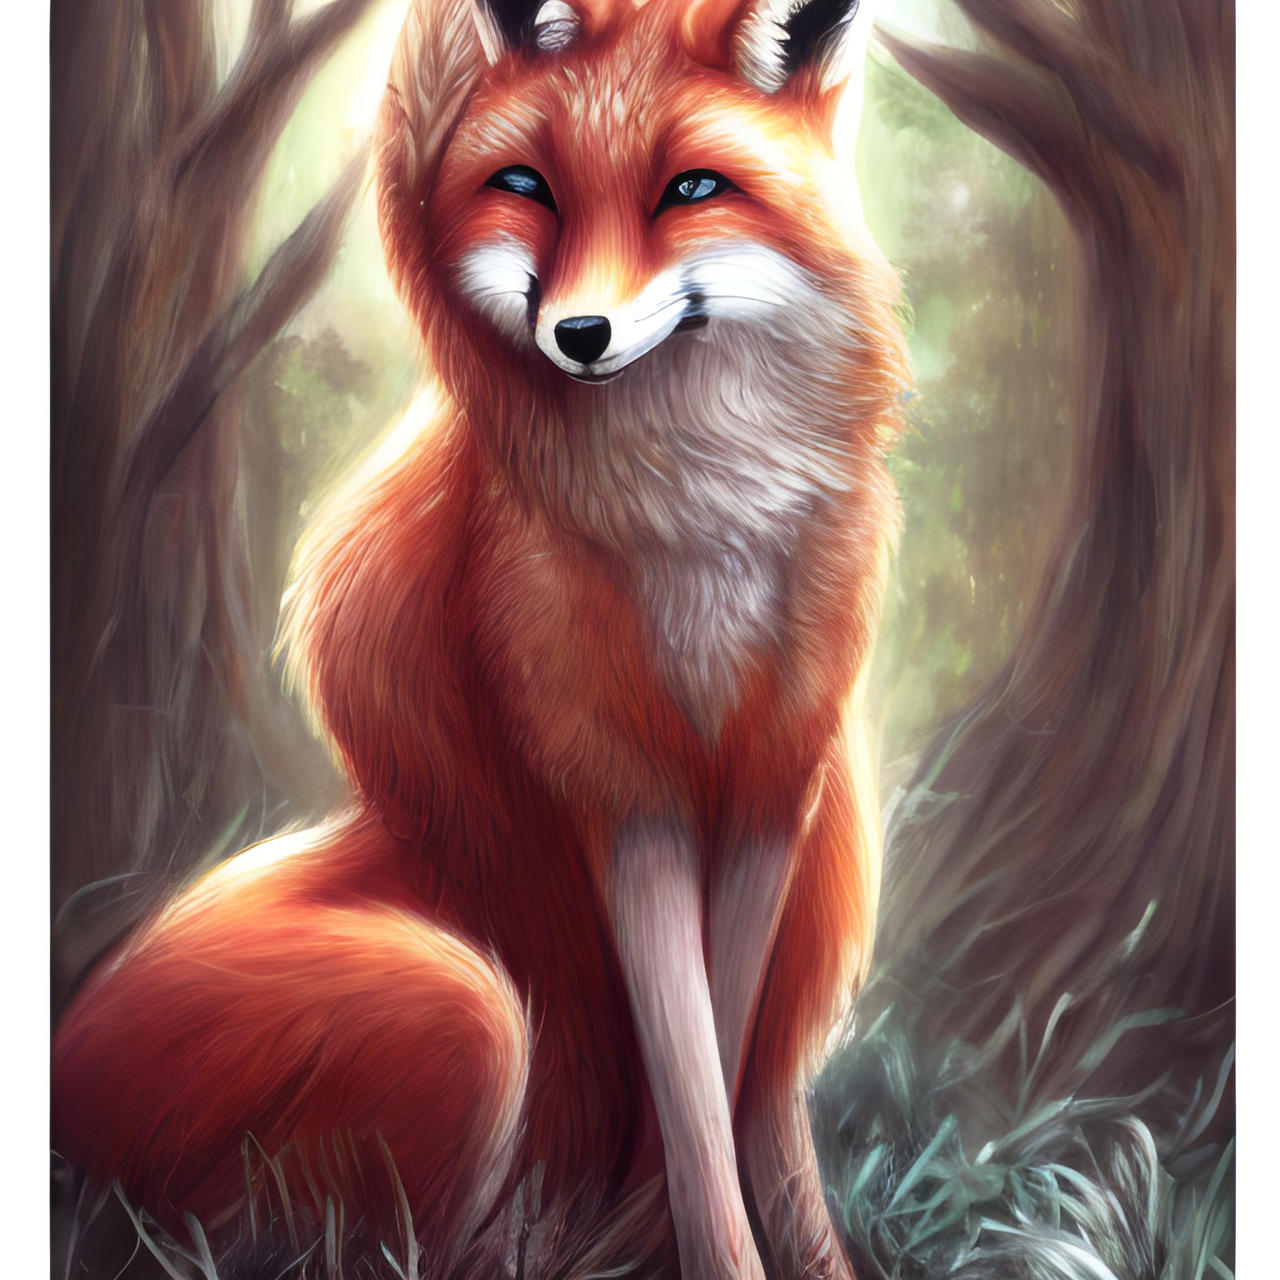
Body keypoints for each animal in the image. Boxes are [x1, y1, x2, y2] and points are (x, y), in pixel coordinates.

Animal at [52, 1, 910, 1276]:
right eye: (528, 186)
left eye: (689, 188)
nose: (579, 332)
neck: (702, 525)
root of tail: (59, 1078)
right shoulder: (619, 787)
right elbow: (689, 1081)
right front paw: (686, 1240)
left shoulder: (769, 785)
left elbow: (720, 1054)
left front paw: (704, 1236)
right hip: (467, 1004)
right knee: (405, 1244)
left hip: (823, 854)